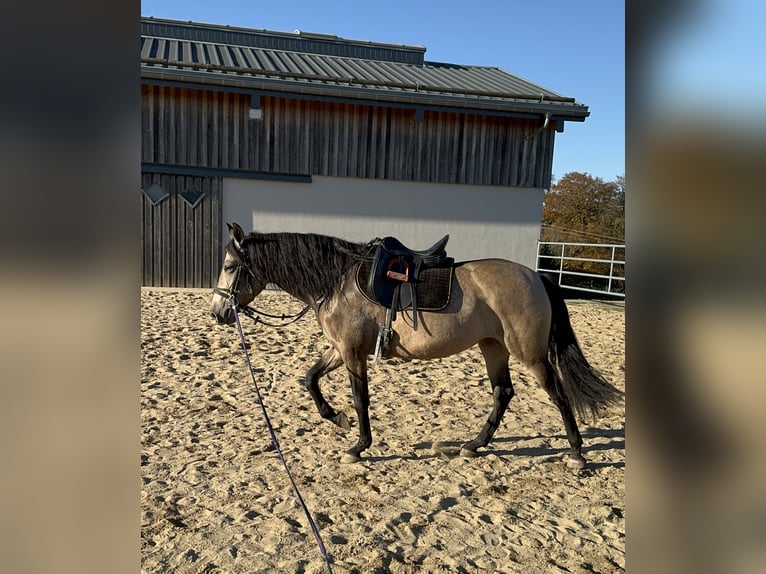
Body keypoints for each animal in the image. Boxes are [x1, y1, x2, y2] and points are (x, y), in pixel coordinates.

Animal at [210, 223, 624, 470]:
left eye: (229, 266)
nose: (218, 312)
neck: (336, 281)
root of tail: (536, 276)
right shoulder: (339, 349)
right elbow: (310, 379)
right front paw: (336, 417)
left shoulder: (351, 352)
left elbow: (360, 398)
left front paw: (359, 445)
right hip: (493, 347)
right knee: (503, 392)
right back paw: (474, 445)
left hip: (529, 353)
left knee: (557, 393)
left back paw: (576, 453)